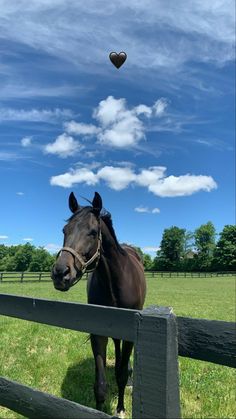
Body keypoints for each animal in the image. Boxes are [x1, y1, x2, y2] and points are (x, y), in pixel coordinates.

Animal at [51, 192, 146, 416]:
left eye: (93, 232)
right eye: (64, 230)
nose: (60, 273)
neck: (115, 281)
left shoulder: (130, 333)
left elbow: (121, 376)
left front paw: (120, 408)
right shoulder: (98, 332)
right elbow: (100, 384)